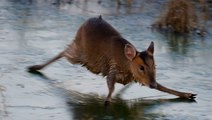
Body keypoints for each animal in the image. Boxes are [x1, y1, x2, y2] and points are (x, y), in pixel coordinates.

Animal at [27, 15, 196, 104]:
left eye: (155, 66)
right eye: (141, 67)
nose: (152, 84)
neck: (126, 65)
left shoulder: (138, 78)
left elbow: (164, 87)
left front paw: (188, 94)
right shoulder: (112, 69)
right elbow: (110, 86)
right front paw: (107, 101)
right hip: (80, 53)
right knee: (63, 51)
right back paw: (34, 67)